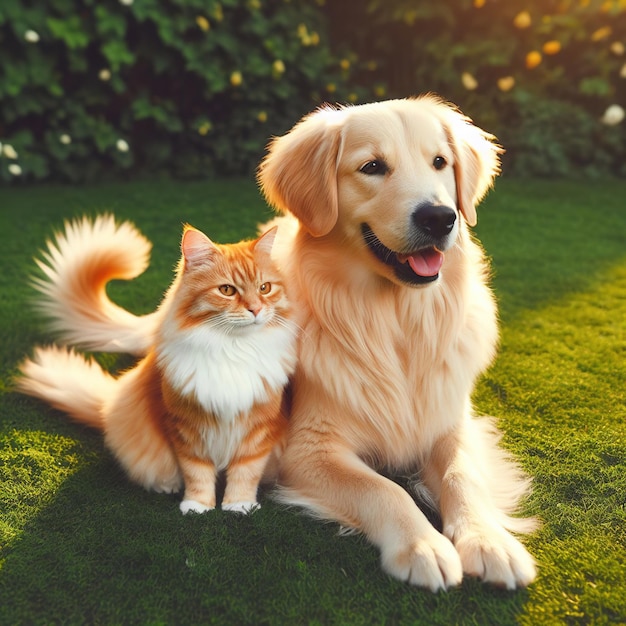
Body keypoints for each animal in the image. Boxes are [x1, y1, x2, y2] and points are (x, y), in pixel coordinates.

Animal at [17, 214, 294, 512]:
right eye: (227, 290)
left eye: (265, 288)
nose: (256, 309)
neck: (233, 349)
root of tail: (108, 403)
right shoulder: (184, 427)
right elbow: (197, 472)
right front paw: (197, 506)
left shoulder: (261, 427)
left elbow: (245, 471)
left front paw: (239, 505)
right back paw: (167, 485)